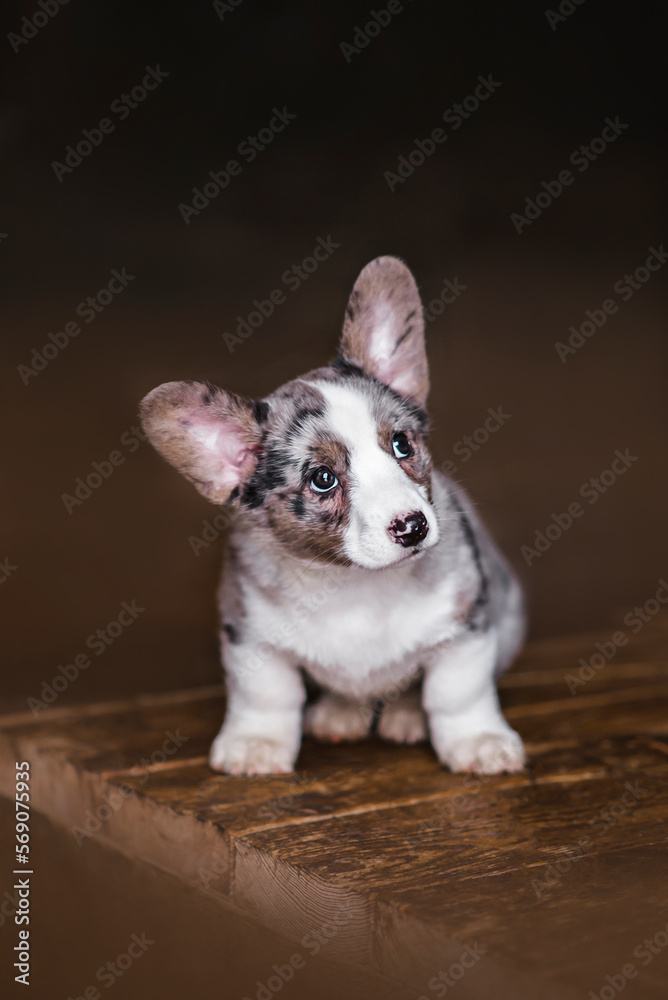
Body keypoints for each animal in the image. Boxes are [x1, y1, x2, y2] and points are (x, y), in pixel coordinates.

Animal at [141, 254, 528, 776]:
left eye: (401, 444)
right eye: (323, 478)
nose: (413, 527)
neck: (352, 583)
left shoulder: (468, 629)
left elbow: (457, 694)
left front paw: (478, 741)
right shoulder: (251, 639)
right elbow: (265, 695)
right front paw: (255, 745)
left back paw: (405, 716)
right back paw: (341, 713)